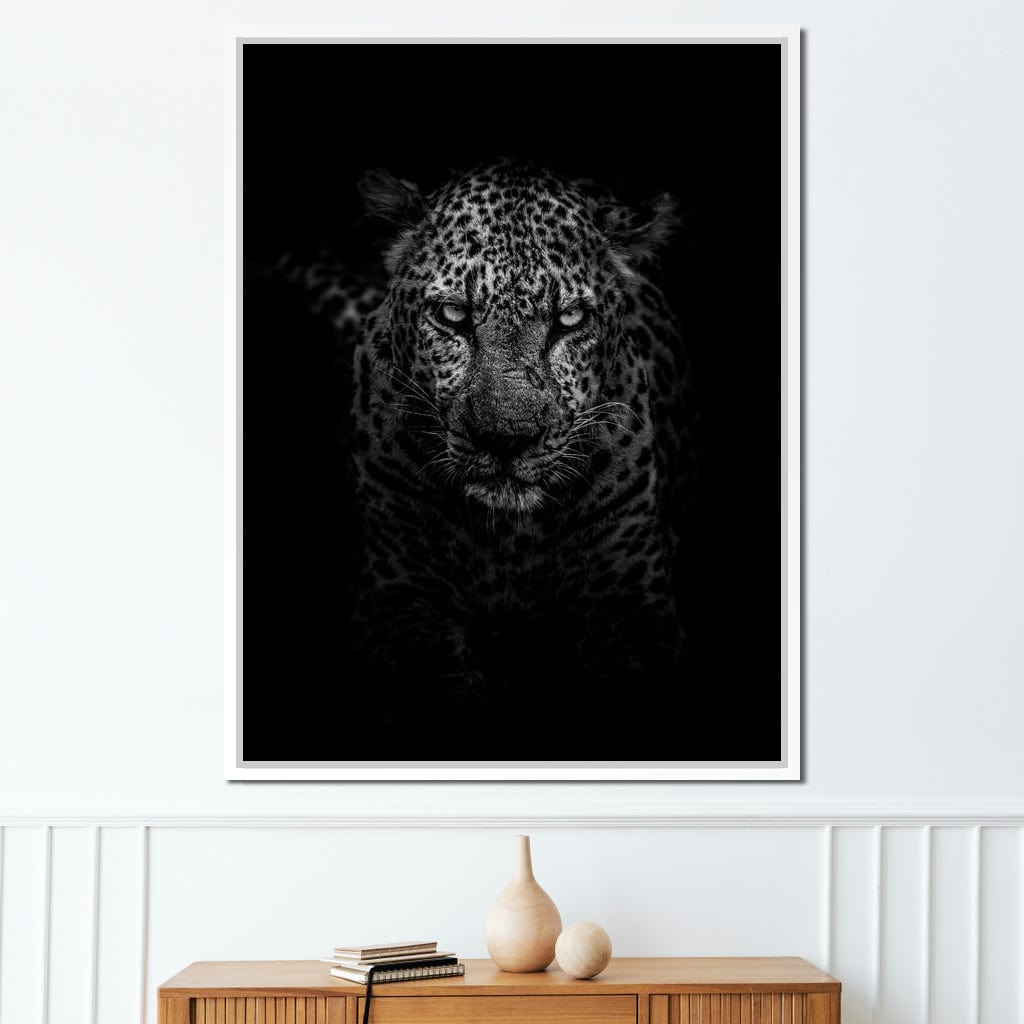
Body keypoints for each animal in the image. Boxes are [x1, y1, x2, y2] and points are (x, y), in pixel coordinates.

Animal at [277, 161, 695, 742]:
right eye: (453, 315)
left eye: (569, 320)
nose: (505, 438)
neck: (510, 536)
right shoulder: (397, 596)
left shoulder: (635, 607)